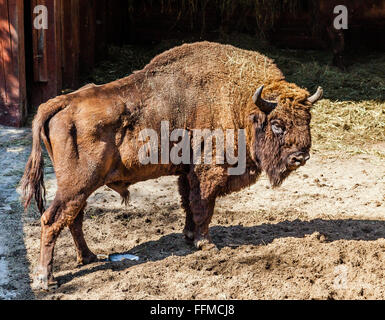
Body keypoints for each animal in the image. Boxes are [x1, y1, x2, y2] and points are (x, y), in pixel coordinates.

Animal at [21, 42, 320, 290]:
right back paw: (47, 280)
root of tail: (60, 102)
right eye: (277, 124)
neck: (241, 102)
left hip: (81, 187)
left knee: (74, 219)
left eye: (307, 120)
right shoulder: (208, 173)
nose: (300, 157)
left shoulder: (187, 173)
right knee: (52, 220)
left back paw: (89, 257)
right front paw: (205, 244)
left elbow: (189, 204)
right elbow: (203, 207)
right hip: (76, 185)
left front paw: (189, 236)